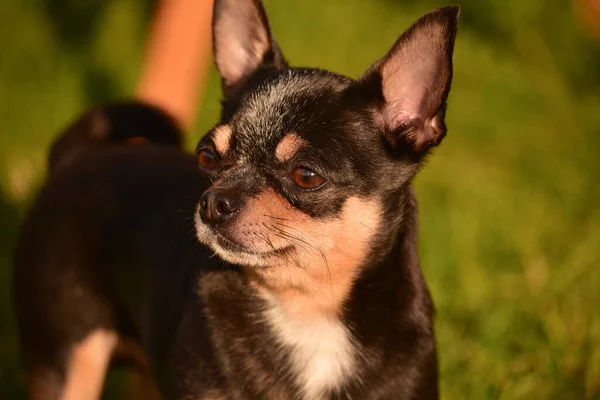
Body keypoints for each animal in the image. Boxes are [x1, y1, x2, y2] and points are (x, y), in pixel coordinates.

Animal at [12, 1, 460, 398]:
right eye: (207, 157)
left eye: (306, 176)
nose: (214, 201)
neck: (307, 310)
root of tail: (78, 155)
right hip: (69, 360)